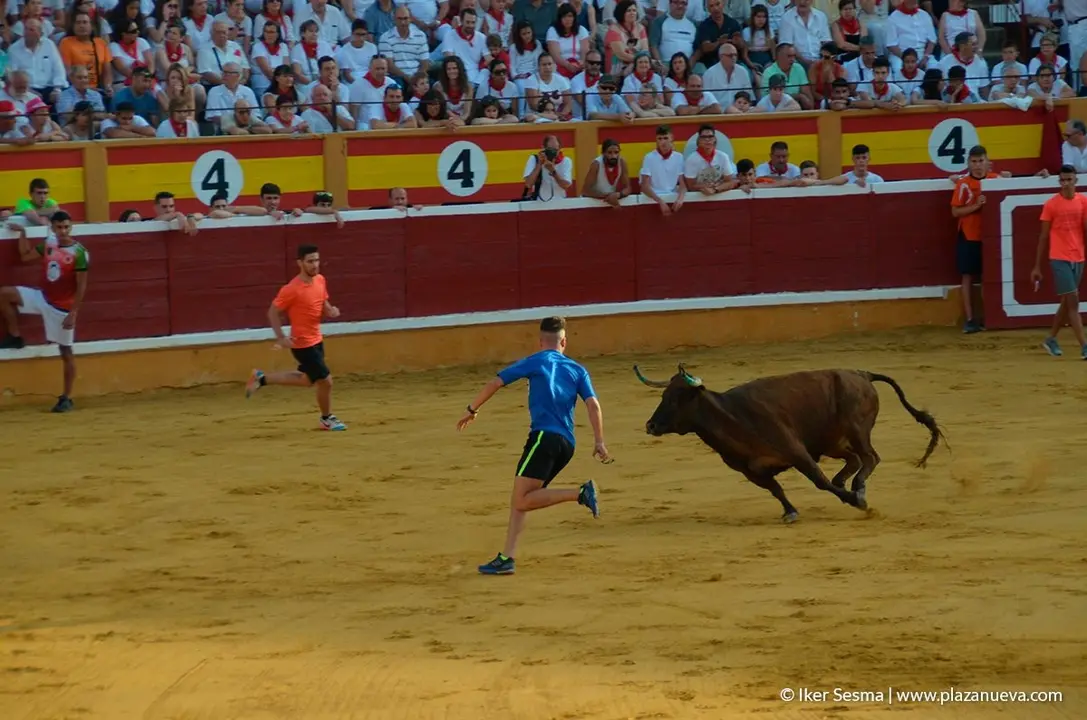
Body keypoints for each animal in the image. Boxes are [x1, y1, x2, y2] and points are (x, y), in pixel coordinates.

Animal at [633, 364, 946, 523]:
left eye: (676, 399)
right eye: (663, 396)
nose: (650, 425)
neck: (733, 418)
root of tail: (861, 374)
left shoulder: (797, 452)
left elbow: (819, 481)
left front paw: (855, 502)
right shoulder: (751, 470)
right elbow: (776, 489)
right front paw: (790, 511)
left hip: (857, 429)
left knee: (870, 457)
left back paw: (857, 489)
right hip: (831, 441)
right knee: (855, 460)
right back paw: (849, 483)